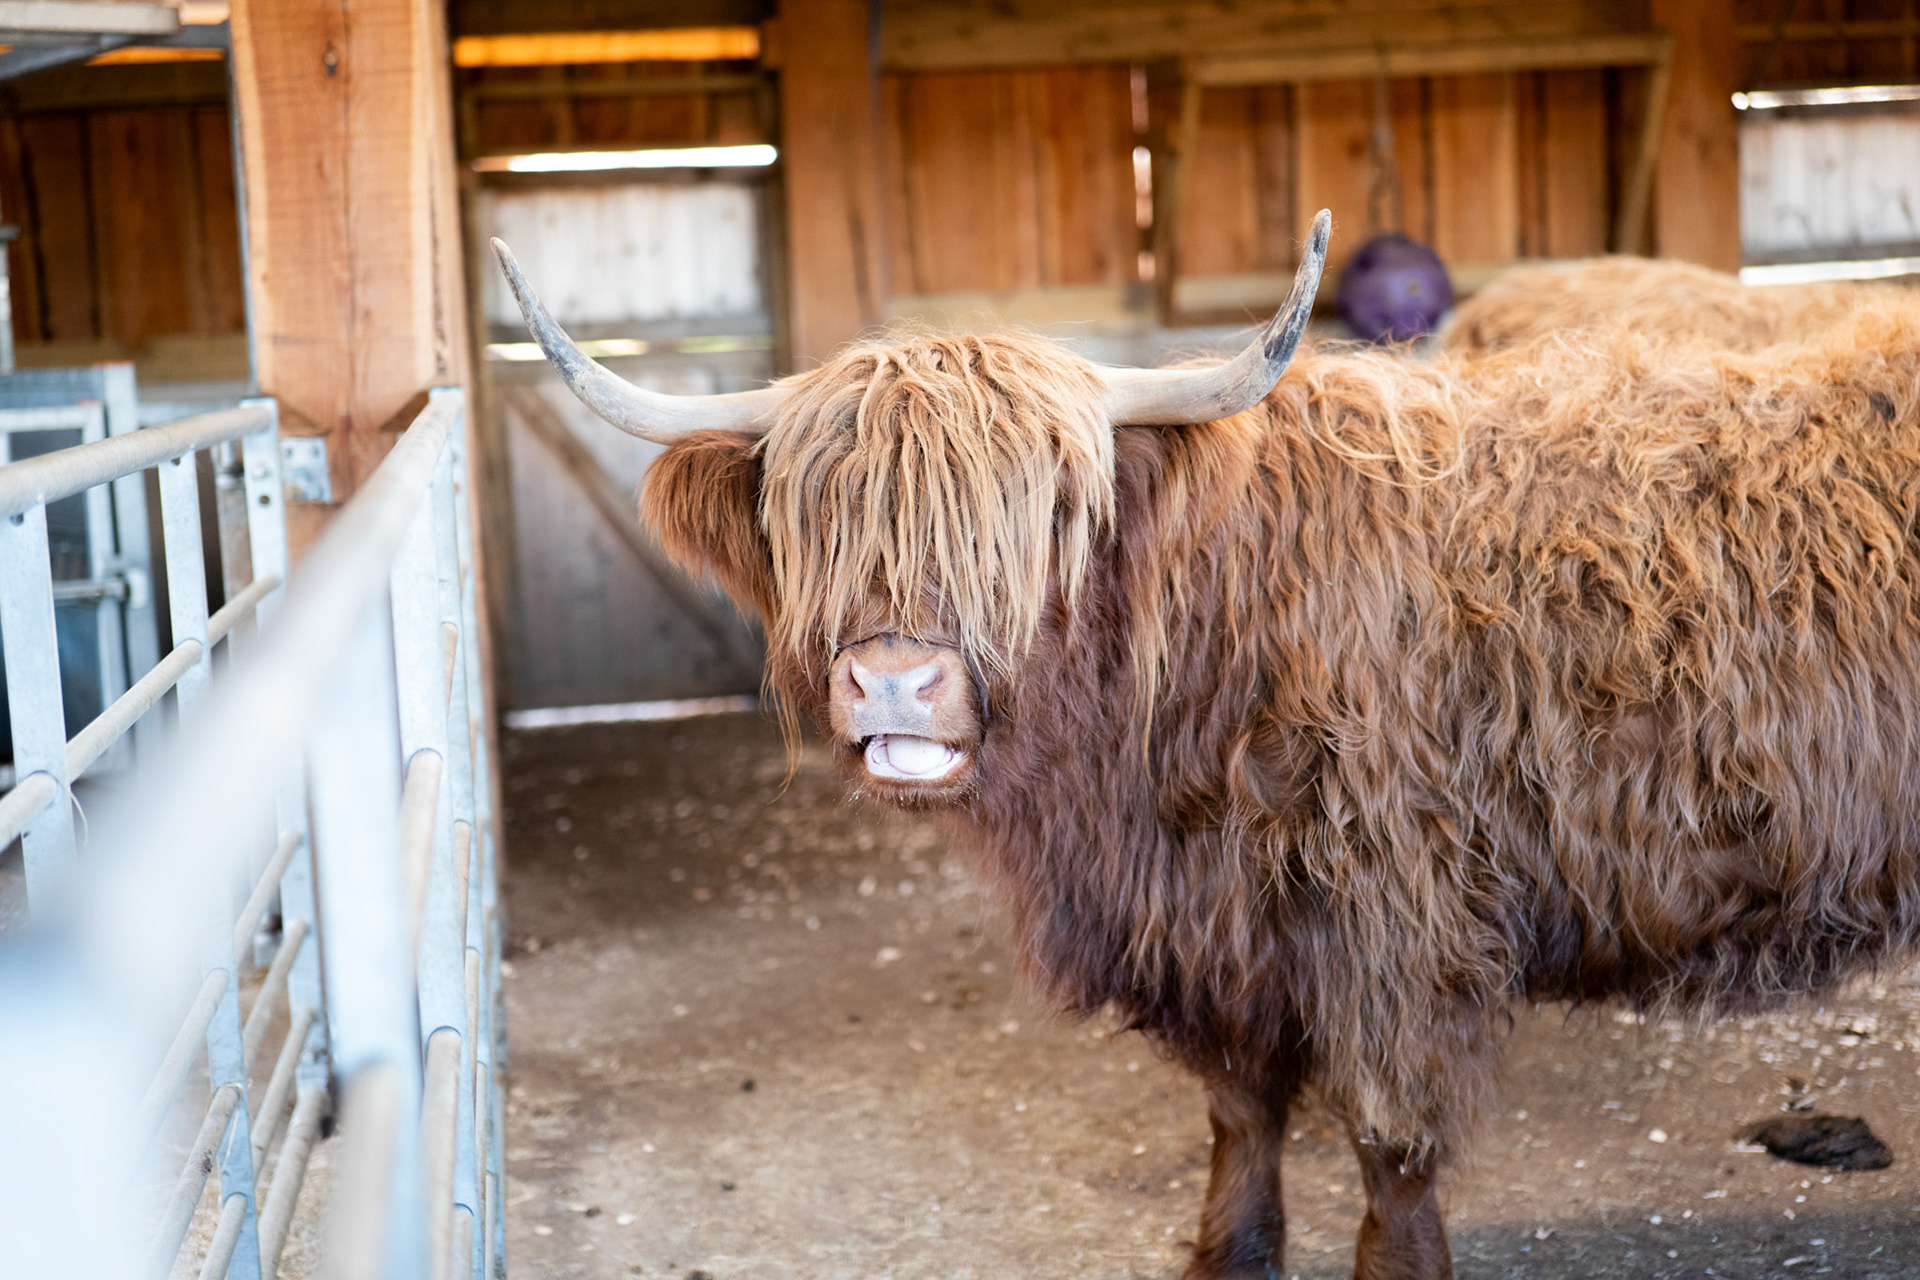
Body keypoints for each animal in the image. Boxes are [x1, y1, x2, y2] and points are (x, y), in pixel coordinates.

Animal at [491, 211, 1920, 1279]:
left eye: (1045, 512)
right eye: (815, 514)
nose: (895, 679)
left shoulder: (1401, 924)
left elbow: (1391, 1143)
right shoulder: (1216, 928)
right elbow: (1239, 1113)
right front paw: (1225, 1252)